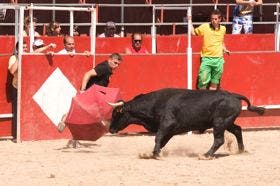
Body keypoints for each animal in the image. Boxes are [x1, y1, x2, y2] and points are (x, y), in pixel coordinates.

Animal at [108, 88, 264, 158]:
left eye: (116, 113)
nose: (110, 129)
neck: (154, 104)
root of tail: (234, 95)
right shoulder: (170, 131)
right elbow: (161, 141)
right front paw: (153, 153)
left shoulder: (167, 124)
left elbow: (158, 138)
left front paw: (155, 154)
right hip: (227, 122)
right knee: (237, 130)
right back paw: (241, 150)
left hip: (219, 123)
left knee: (219, 140)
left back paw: (205, 155)